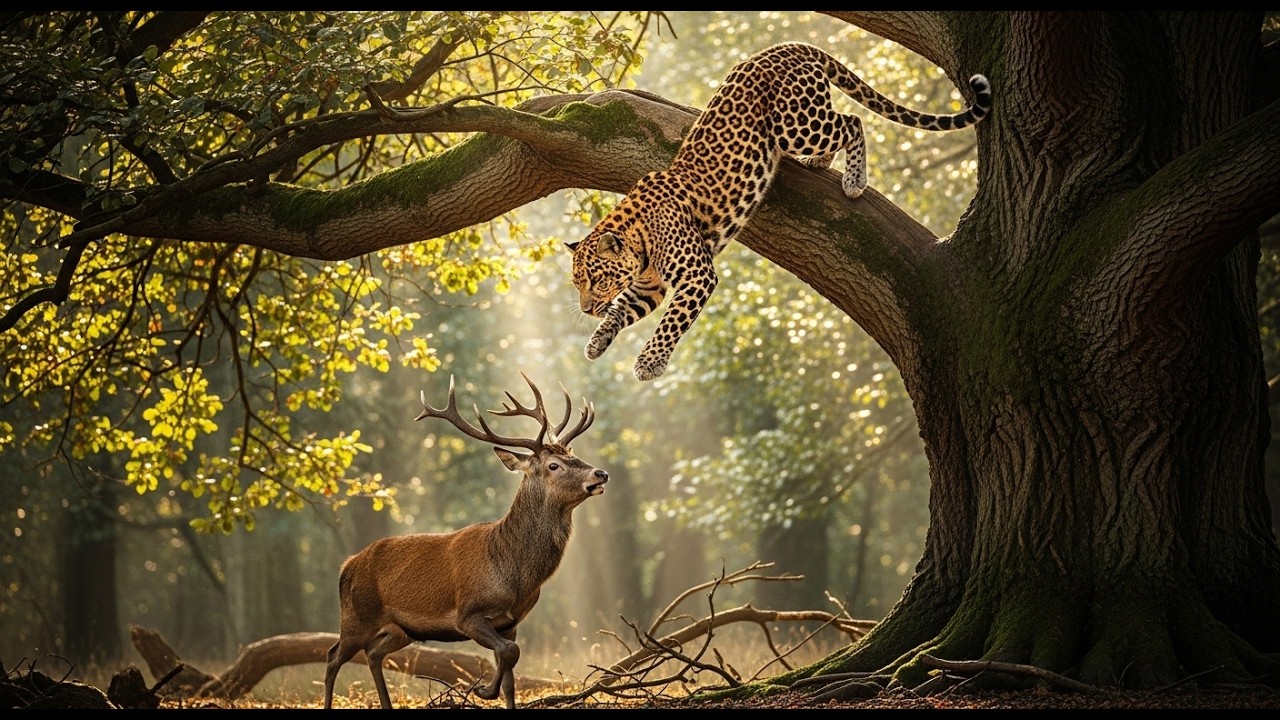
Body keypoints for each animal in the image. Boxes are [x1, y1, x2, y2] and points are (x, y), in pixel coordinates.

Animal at [322, 372, 608, 710]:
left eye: (573, 454)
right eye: (554, 465)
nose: (601, 474)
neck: (515, 573)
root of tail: (346, 566)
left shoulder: (512, 622)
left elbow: (511, 674)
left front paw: (494, 691)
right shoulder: (468, 614)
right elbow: (509, 653)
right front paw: (483, 691)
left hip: (401, 630)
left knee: (373, 653)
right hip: (357, 616)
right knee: (333, 656)